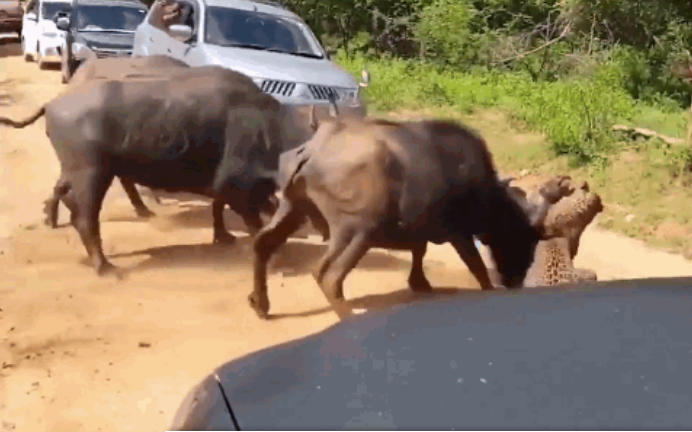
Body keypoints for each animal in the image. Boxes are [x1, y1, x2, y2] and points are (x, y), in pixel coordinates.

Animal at [0, 66, 316, 276]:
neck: (270, 130)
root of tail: (52, 103)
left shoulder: (227, 185)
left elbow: (221, 207)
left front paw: (223, 237)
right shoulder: (237, 187)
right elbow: (254, 222)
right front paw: (274, 259)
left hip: (78, 171)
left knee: (65, 195)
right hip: (92, 173)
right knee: (84, 219)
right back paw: (105, 266)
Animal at [251, 116, 564, 318]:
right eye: (524, 239)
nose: (515, 281)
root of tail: (313, 150)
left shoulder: (419, 225)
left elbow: (419, 250)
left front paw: (419, 282)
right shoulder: (459, 234)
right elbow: (476, 267)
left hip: (293, 208)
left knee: (263, 244)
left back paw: (260, 303)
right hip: (358, 230)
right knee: (327, 276)